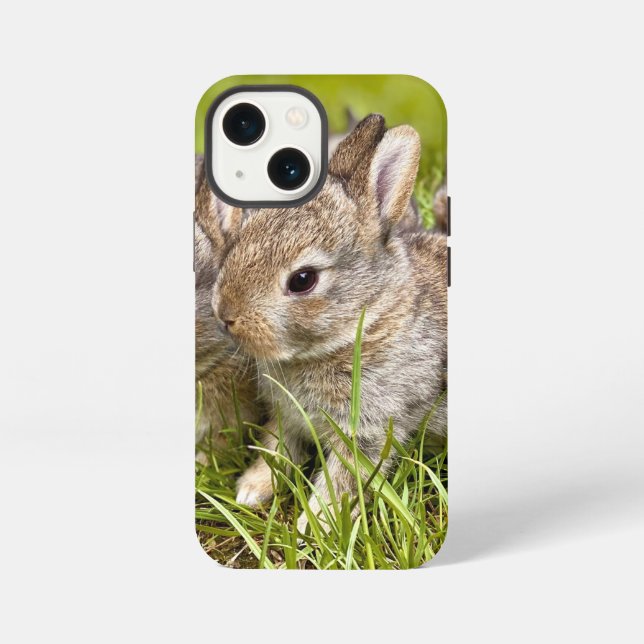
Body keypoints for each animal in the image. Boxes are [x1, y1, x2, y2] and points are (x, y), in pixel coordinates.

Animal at [212, 115, 447, 531]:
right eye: (240, 239)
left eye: (303, 280)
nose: (226, 316)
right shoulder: (287, 417)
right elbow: (275, 448)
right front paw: (252, 490)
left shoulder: (369, 430)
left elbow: (342, 478)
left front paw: (317, 523)